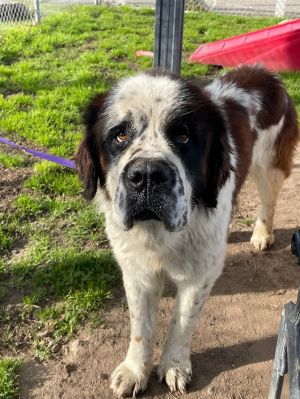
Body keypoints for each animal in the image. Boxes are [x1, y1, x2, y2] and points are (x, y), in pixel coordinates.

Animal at [76, 65, 298, 396]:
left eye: (183, 135)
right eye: (120, 134)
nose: (147, 175)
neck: (160, 234)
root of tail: (265, 75)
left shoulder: (199, 275)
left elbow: (182, 322)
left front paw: (174, 366)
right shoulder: (137, 270)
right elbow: (140, 325)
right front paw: (134, 371)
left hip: (270, 167)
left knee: (268, 201)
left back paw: (262, 234)